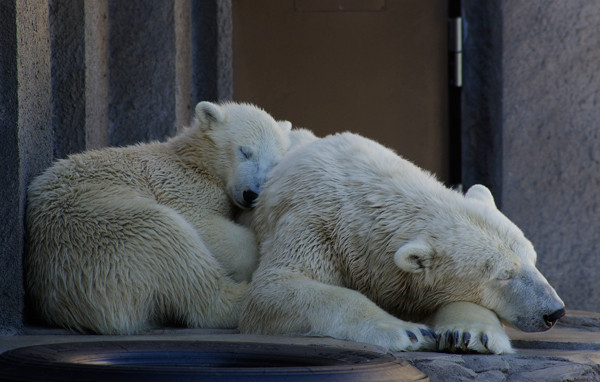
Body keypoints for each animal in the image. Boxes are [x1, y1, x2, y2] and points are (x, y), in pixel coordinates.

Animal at [25, 101, 290, 334]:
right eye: (245, 151)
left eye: (275, 162)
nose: (252, 194)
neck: (193, 159)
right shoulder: (180, 184)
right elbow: (201, 222)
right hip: (101, 227)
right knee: (170, 241)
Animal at [238, 132, 564, 356]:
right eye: (504, 275)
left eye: (533, 259)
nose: (553, 312)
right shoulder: (314, 224)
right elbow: (274, 287)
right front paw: (408, 332)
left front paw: (470, 334)